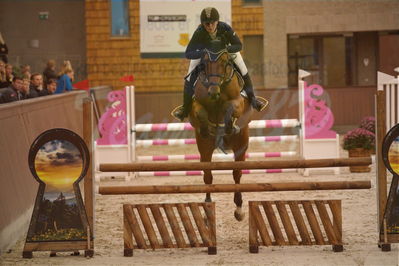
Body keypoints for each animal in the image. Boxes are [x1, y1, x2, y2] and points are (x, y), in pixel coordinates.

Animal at [189, 48, 255, 220]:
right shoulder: (196, 103)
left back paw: (239, 209)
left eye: (225, 62)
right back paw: (208, 207)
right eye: (205, 63)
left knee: (237, 173)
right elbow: (201, 112)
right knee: (208, 175)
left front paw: (229, 126)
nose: (213, 91)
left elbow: (230, 107)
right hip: (205, 150)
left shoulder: (238, 101)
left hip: (240, 147)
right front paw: (206, 128)